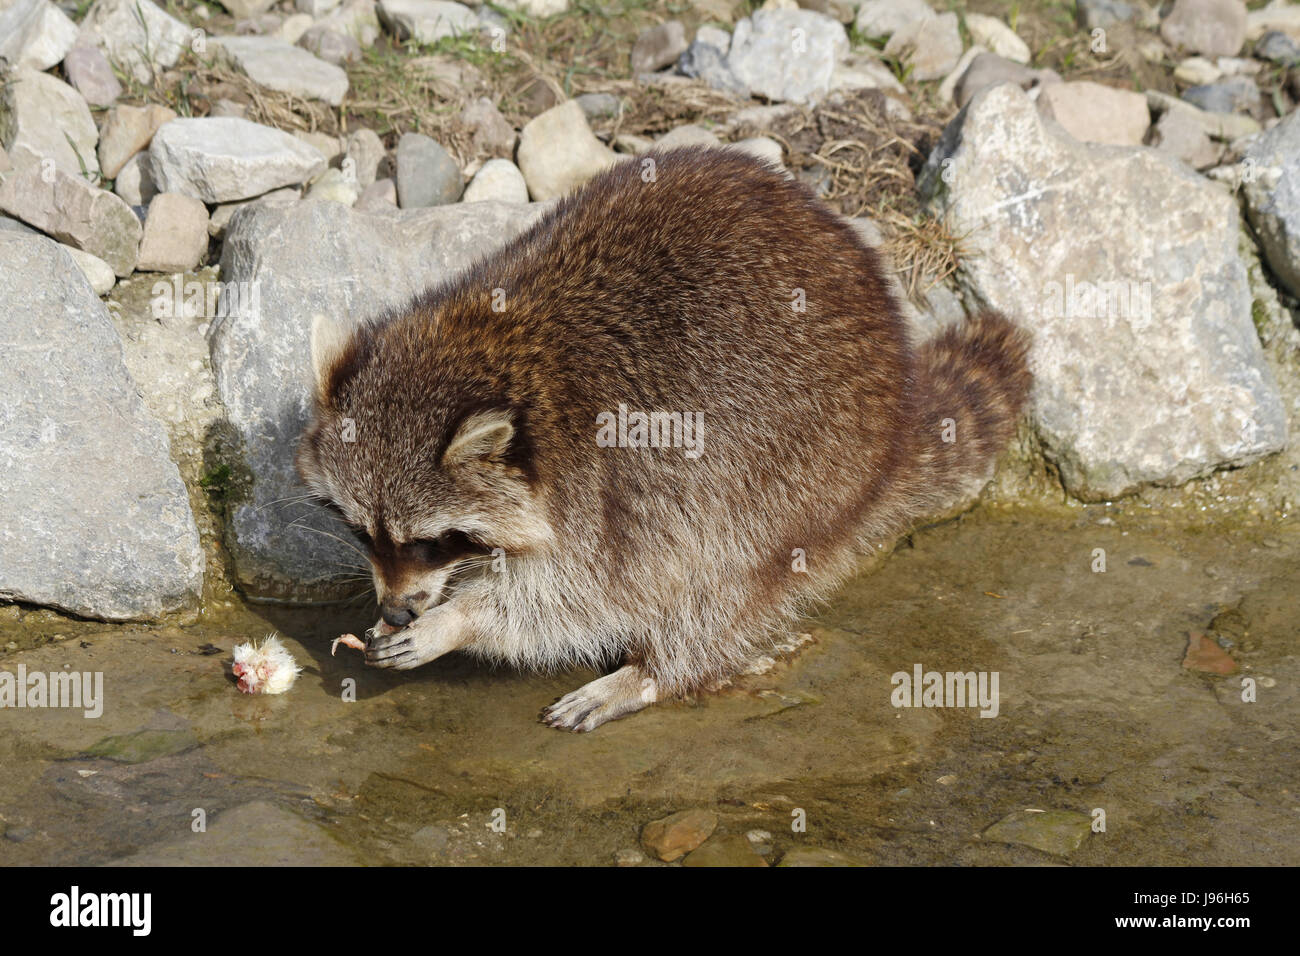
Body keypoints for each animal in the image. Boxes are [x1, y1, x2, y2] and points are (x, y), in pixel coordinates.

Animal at [296, 145, 1031, 732]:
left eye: (430, 541)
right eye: (361, 531)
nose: (395, 612)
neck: (497, 346)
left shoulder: (603, 490)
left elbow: (574, 602)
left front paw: (459, 620)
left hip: (809, 463)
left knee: (726, 573)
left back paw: (656, 671)